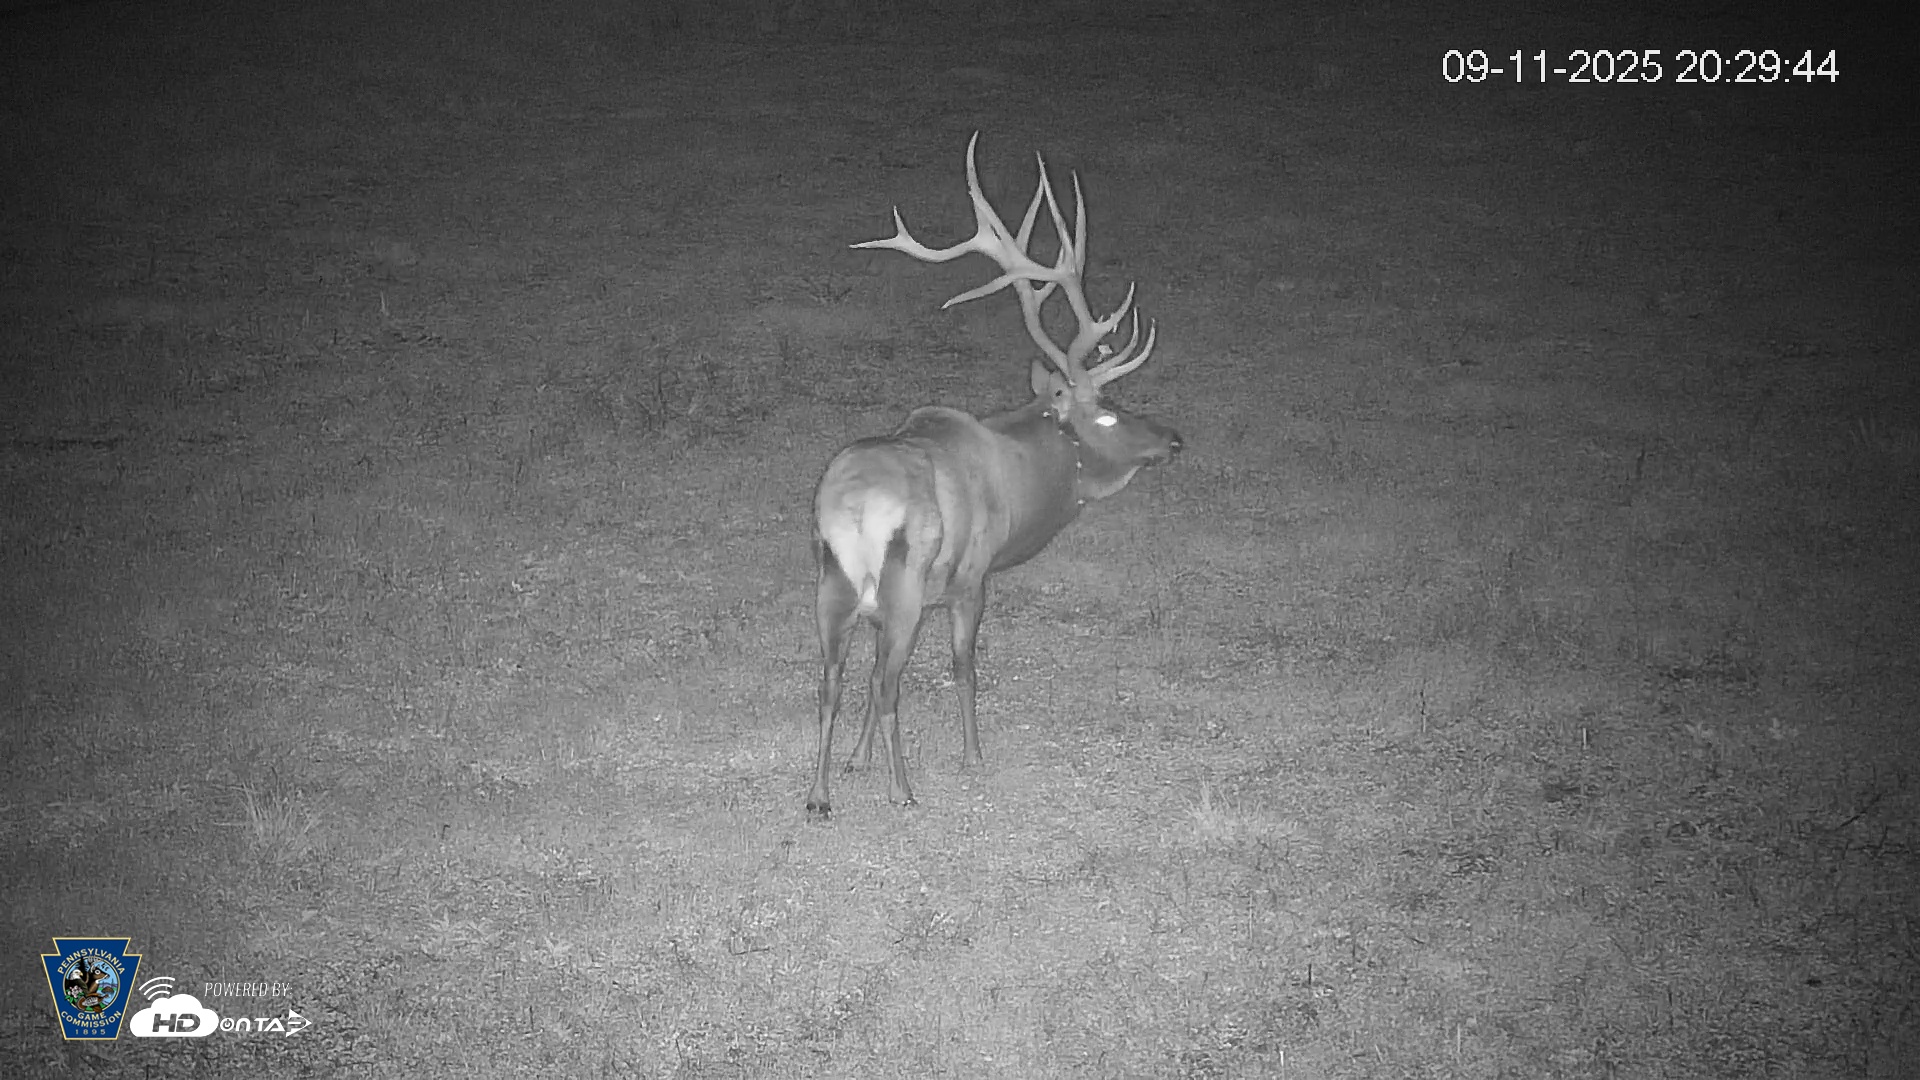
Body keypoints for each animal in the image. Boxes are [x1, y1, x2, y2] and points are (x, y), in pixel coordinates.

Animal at [806, 133, 1182, 817]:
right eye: (1109, 413)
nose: (1173, 438)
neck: (1019, 485)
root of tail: (852, 509)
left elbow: (861, 685)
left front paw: (855, 761)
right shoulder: (971, 578)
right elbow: (962, 667)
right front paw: (971, 755)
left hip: (833, 587)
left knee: (832, 682)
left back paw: (819, 795)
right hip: (906, 585)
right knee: (888, 683)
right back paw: (904, 790)